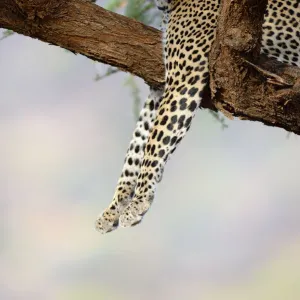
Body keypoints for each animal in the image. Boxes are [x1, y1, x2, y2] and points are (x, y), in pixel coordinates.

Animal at [95, 0, 300, 233]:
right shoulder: (162, 85)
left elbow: (155, 140)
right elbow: (138, 141)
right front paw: (114, 207)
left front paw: (139, 201)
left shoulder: (183, 80)